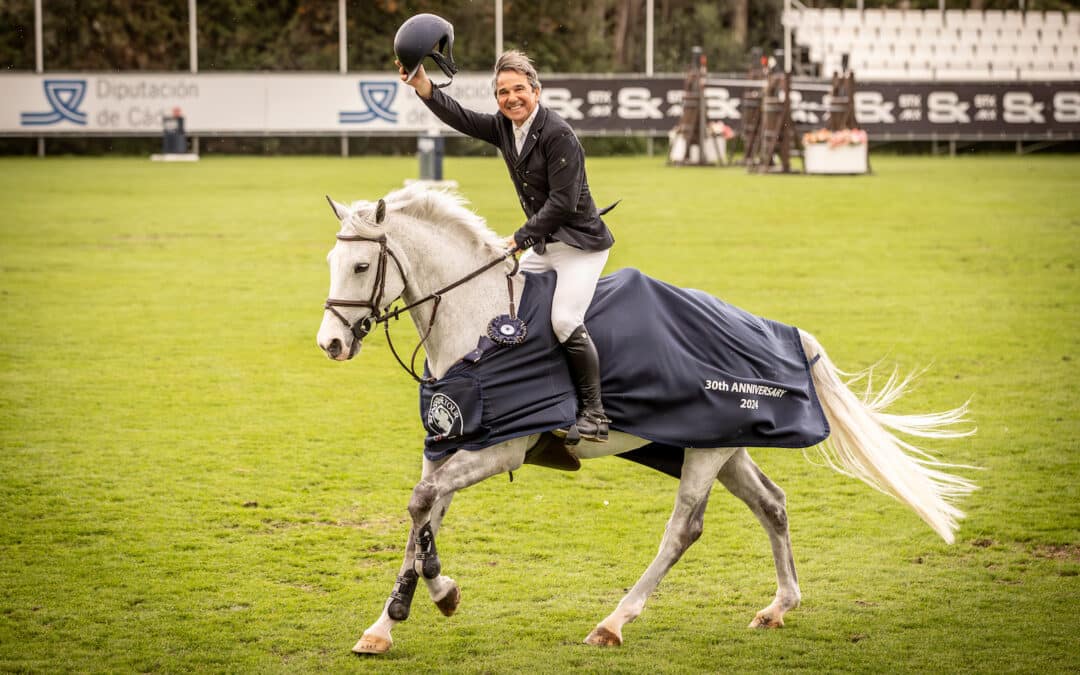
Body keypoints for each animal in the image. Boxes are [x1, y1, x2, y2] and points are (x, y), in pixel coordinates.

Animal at [315, 184, 980, 652]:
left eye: (359, 268)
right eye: (330, 261)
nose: (331, 345)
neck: (479, 320)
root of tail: (779, 334)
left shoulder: (501, 447)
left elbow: (423, 504)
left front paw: (436, 595)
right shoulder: (452, 443)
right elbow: (423, 513)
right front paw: (391, 621)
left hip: (705, 451)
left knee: (684, 529)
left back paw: (614, 622)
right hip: (724, 444)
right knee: (772, 503)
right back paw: (779, 606)